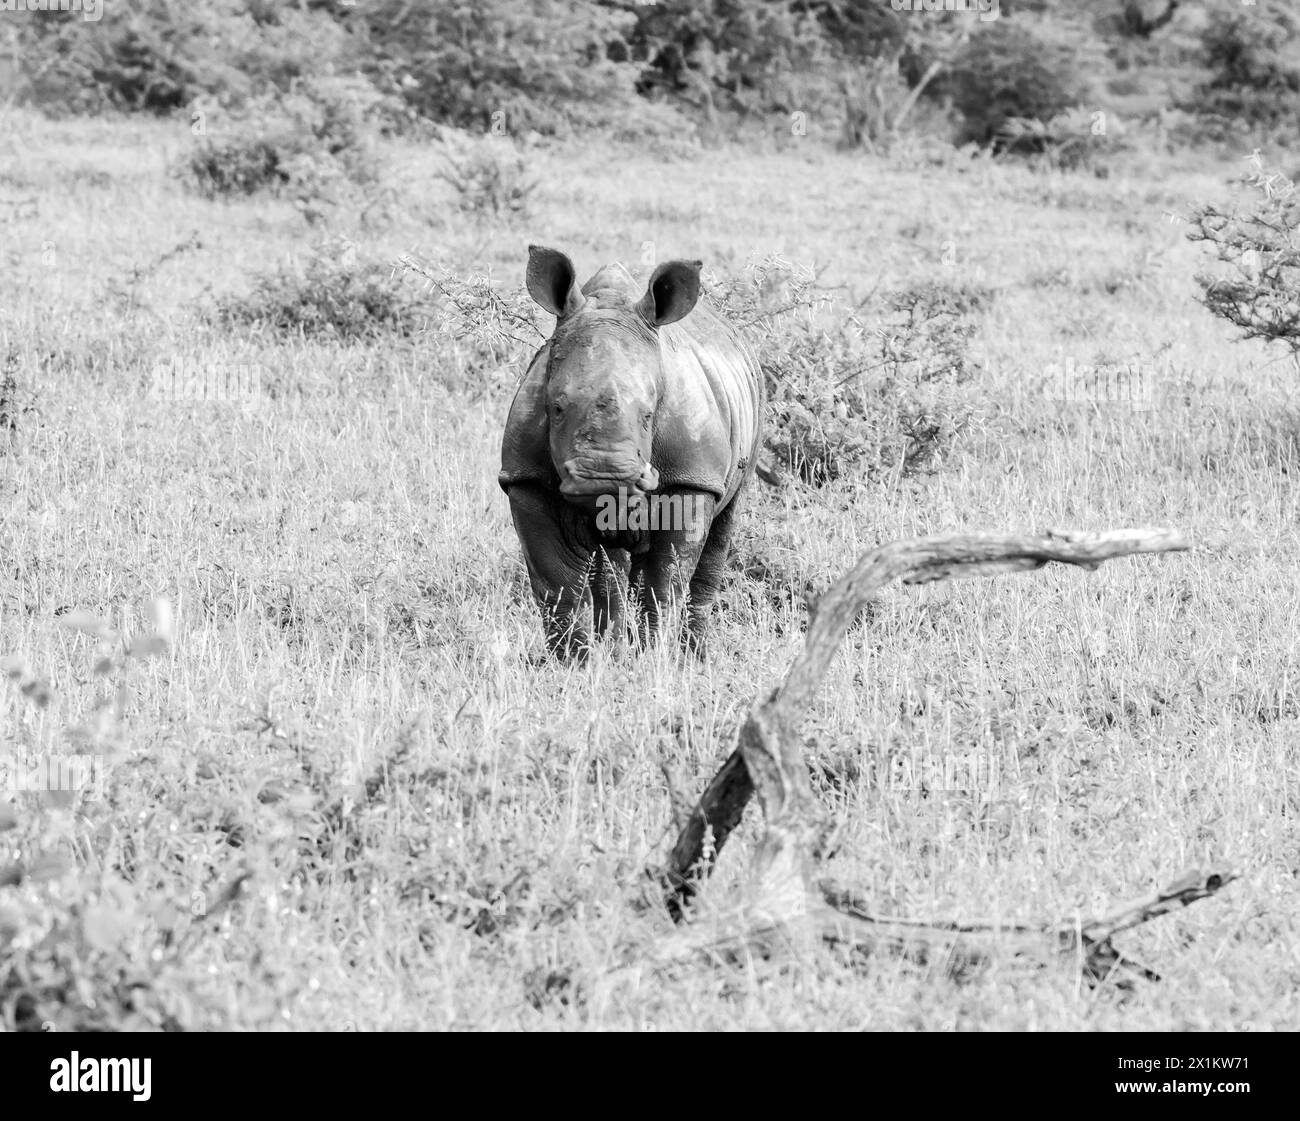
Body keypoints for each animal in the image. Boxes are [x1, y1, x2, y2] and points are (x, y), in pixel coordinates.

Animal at [499, 245, 764, 661]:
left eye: (649, 414)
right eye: (555, 408)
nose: (605, 477)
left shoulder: (691, 478)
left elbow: (664, 580)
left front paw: (650, 659)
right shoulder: (526, 479)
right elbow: (556, 583)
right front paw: (574, 663)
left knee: (720, 530)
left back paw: (693, 657)